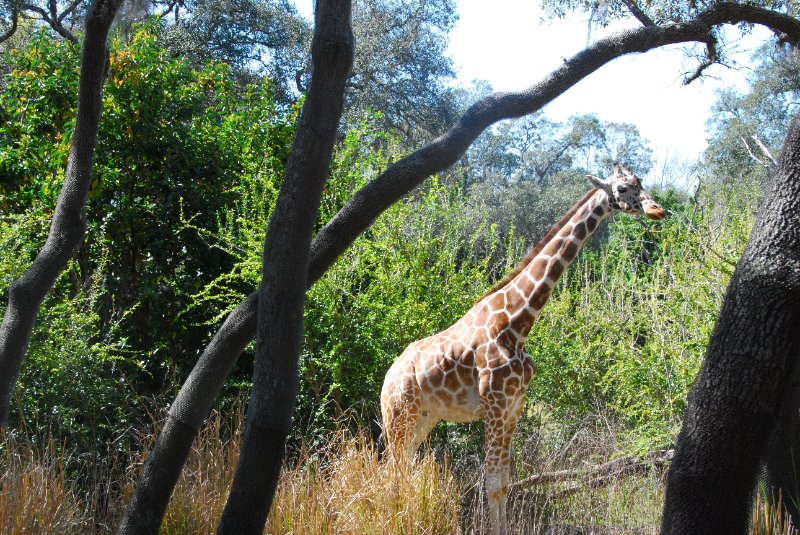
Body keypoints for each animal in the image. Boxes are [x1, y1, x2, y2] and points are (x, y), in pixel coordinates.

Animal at [378, 163, 664, 535]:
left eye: (640, 182)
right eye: (622, 189)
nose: (658, 210)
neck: (518, 322)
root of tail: (388, 377)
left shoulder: (514, 405)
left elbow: (504, 482)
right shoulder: (495, 405)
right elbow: (491, 482)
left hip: (424, 418)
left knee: (401, 466)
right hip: (399, 414)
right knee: (392, 468)